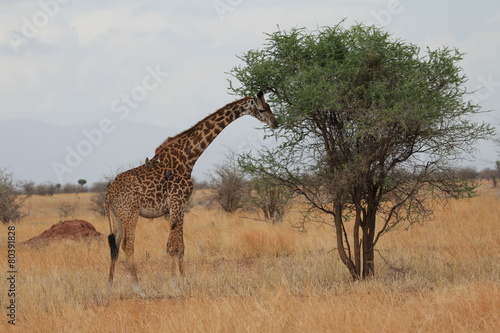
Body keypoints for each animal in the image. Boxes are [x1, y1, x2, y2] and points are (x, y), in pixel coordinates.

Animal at [106, 91, 280, 296]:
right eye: (261, 109)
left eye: (269, 106)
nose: (275, 123)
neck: (188, 157)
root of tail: (108, 194)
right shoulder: (177, 202)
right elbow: (173, 246)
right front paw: (175, 285)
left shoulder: (179, 205)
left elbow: (179, 246)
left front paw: (184, 282)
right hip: (130, 213)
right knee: (128, 246)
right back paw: (139, 289)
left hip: (117, 216)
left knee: (115, 246)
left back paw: (109, 287)